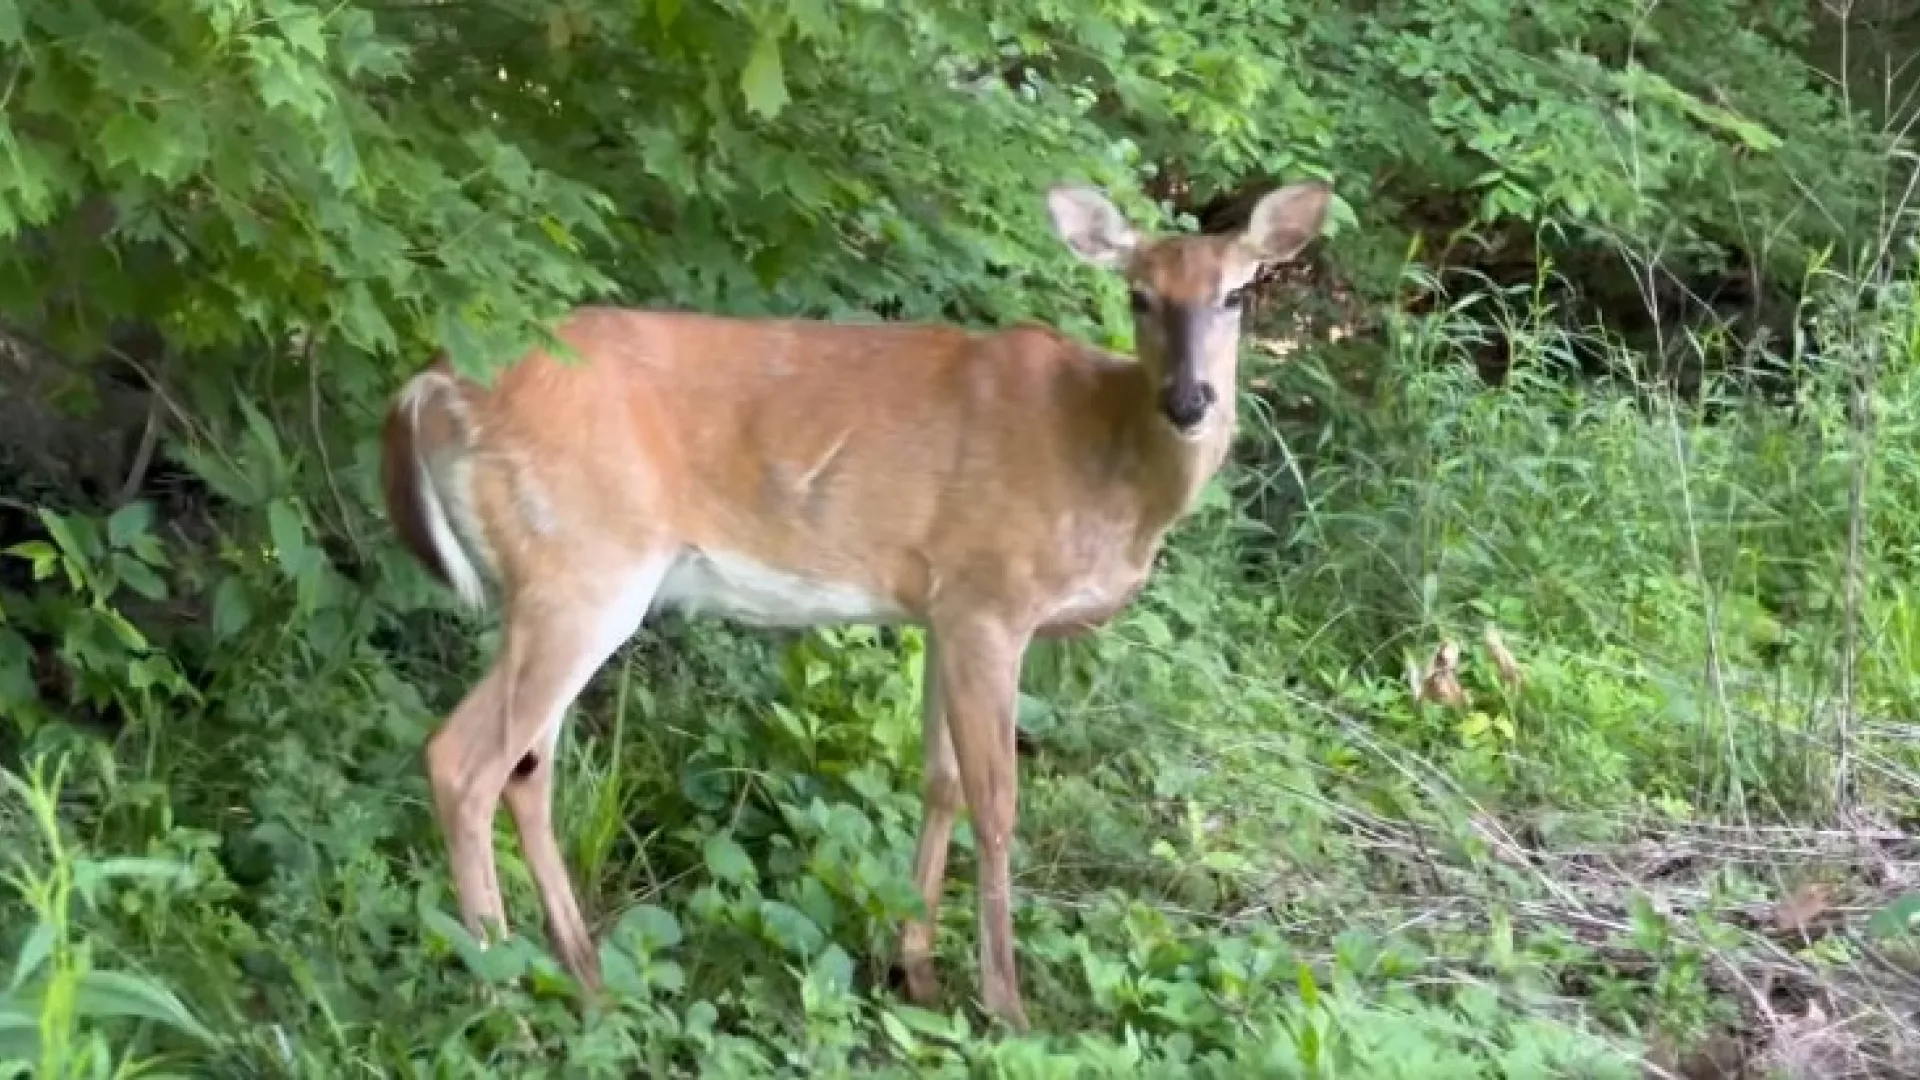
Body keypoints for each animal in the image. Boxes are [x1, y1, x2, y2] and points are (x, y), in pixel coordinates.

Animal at [378, 178, 1334, 1030]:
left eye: (1238, 293)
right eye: (1139, 294)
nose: (1190, 400)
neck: (1107, 460)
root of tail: (433, 390)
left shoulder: (941, 609)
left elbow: (940, 780)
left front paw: (914, 971)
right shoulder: (992, 597)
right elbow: (997, 799)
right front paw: (1006, 1005)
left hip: (556, 586)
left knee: (528, 769)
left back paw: (584, 981)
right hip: (583, 567)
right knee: (463, 761)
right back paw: (505, 1003)